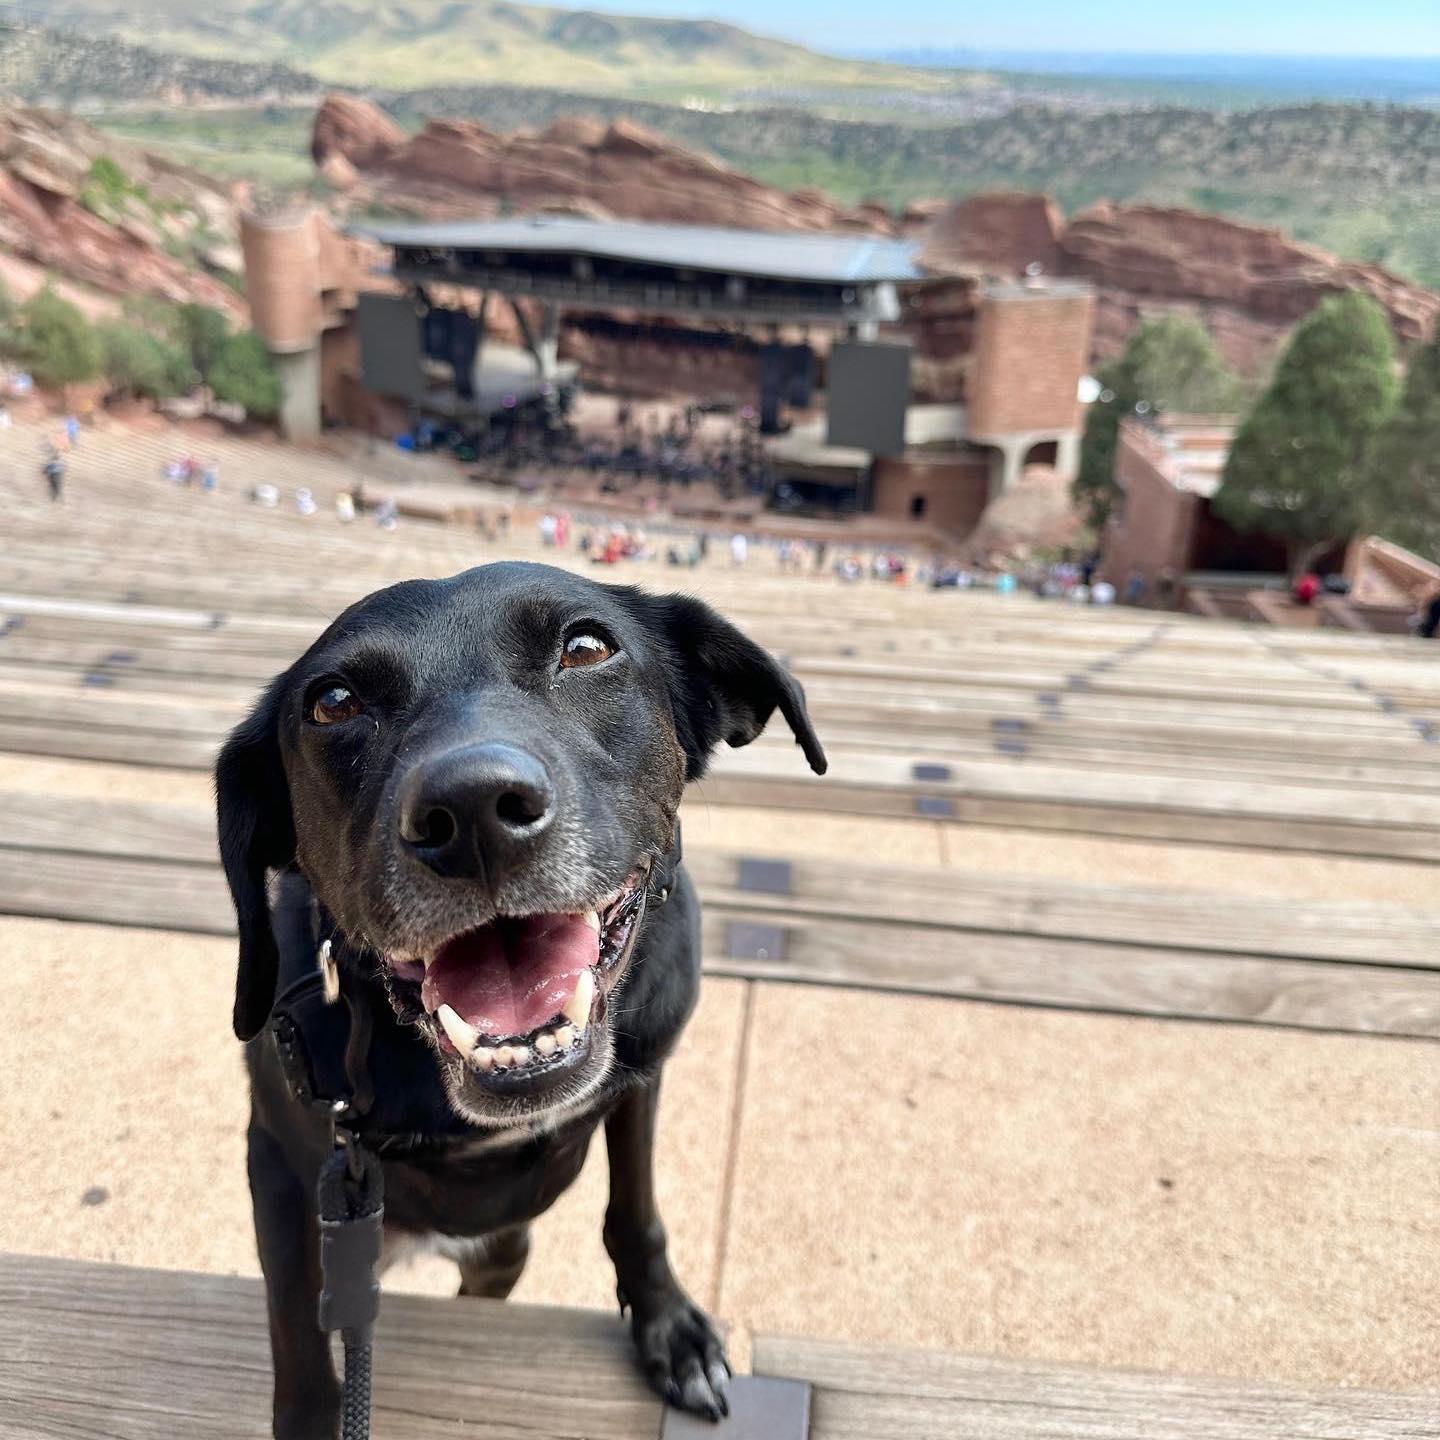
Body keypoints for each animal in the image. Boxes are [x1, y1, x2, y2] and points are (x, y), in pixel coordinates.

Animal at [211, 561, 823, 1440]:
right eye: (333, 702)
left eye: (587, 647)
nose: (471, 811)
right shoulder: (283, 1172)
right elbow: (296, 1332)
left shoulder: (640, 1080)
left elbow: (635, 1210)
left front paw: (667, 1325)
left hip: (502, 1251)